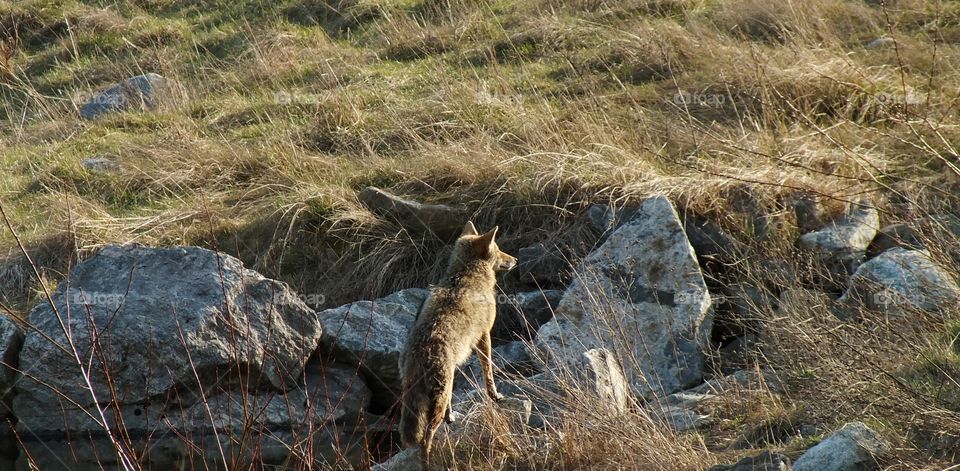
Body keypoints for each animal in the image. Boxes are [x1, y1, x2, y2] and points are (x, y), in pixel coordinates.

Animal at [398, 223, 516, 466]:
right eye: (498, 249)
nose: (515, 259)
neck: (466, 274)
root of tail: (419, 351)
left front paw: (452, 416)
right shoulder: (484, 336)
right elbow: (489, 373)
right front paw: (496, 396)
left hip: (428, 392)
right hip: (438, 397)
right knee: (426, 438)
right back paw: (428, 463)